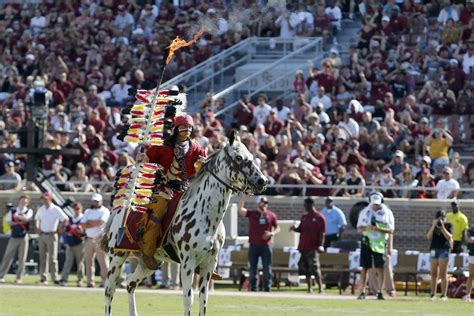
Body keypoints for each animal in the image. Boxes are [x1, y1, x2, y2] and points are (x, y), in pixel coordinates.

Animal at [102, 130, 268, 314]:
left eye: (251, 156)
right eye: (238, 157)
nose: (262, 181)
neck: (206, 215)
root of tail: (118, 211)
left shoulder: (209, 264)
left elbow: (204, 300)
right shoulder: (188, 262)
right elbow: (189, 299)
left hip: (147, 262)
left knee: (130, 283)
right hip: (117, 257)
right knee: (109, 291)